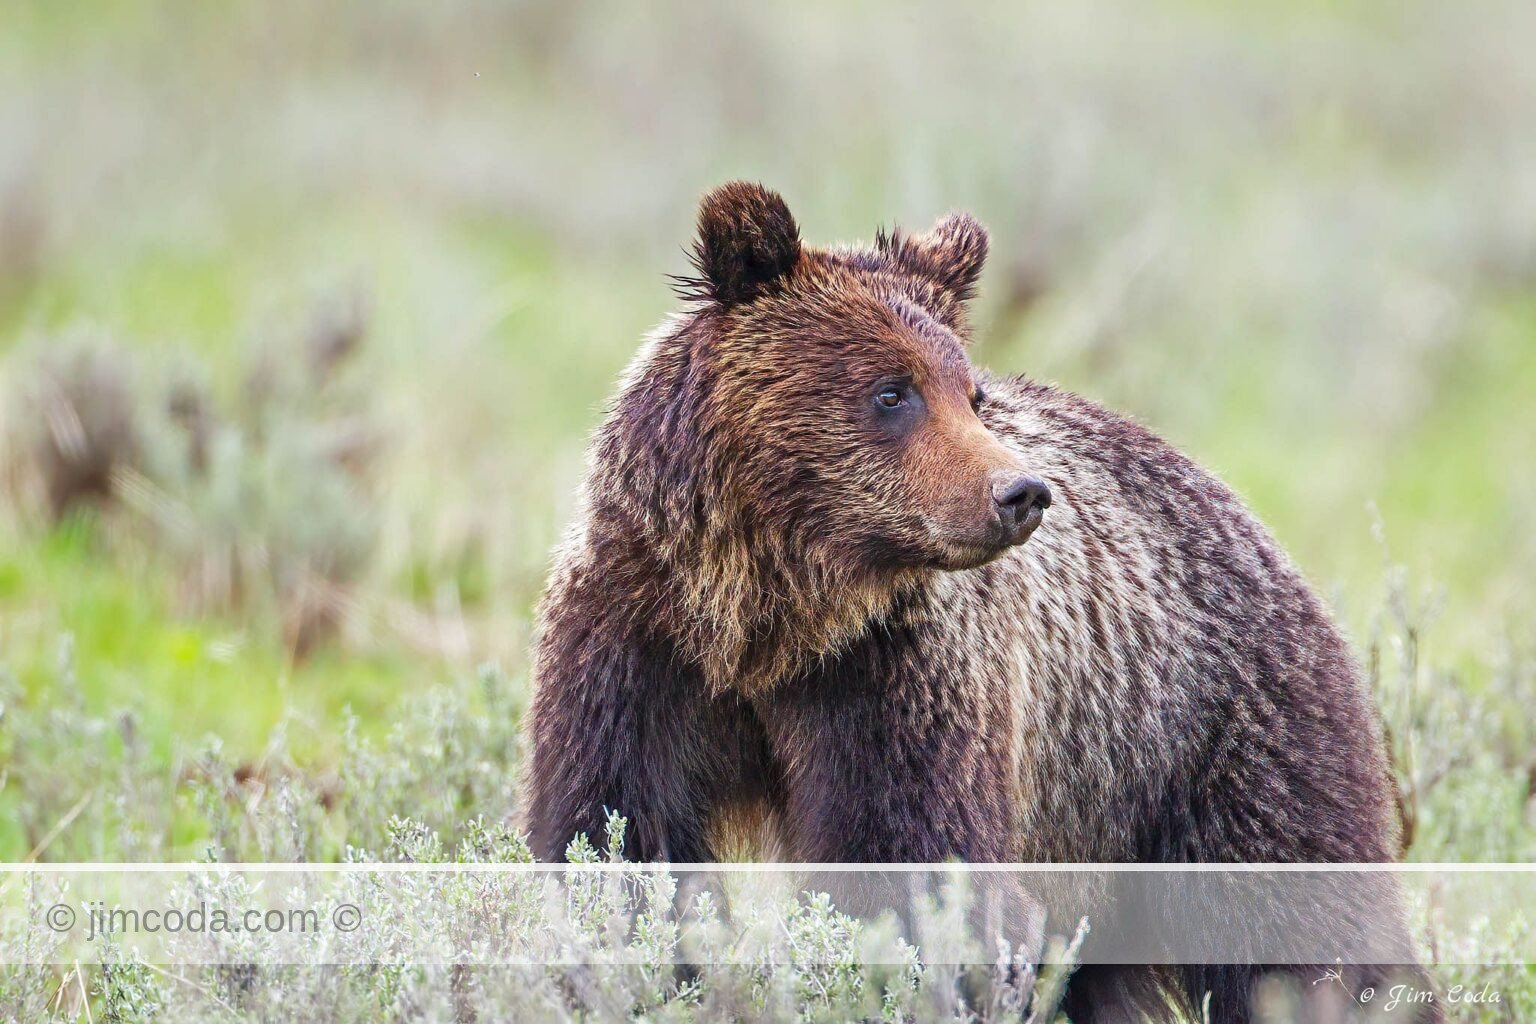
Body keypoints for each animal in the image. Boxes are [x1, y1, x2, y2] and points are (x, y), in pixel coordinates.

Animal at [521, 182, 1433, 1022]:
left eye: (971, 392)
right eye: (892, 391)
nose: (1020, 492)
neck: (768, 622)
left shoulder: (904, 677)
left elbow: (915, 870)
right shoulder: (638, 647)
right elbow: (618, 838)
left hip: (1216, 740)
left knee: (1301, 920)